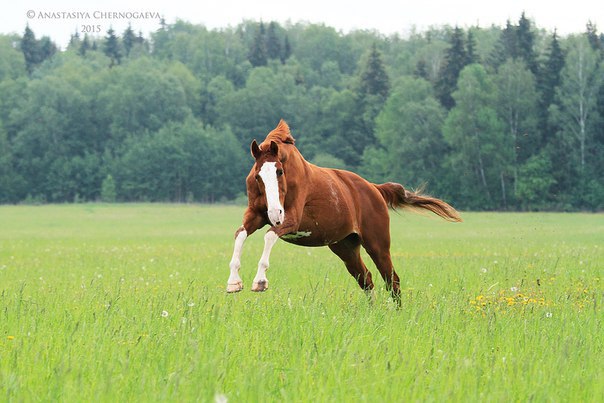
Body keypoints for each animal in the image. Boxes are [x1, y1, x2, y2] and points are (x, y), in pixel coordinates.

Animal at [226, 120, 461, 300]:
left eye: (280, 171)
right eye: (258, 175)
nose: (275, 214)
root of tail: (375, 188)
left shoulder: (291, 219)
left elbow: (269, 236)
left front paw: (260, 282)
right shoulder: (255, 216)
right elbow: (240, 234)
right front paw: (234, 283)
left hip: (377, 245)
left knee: (391, 279)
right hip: (345, 247)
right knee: (366, 279)